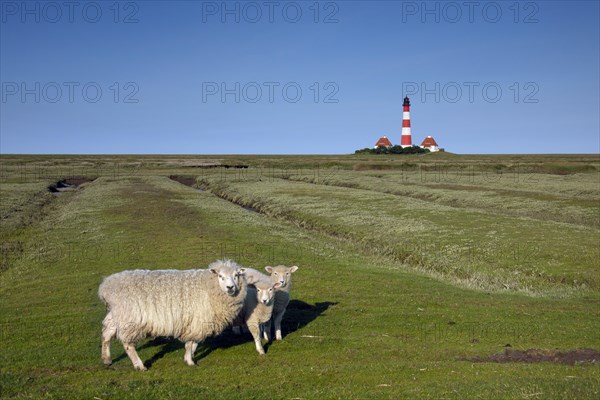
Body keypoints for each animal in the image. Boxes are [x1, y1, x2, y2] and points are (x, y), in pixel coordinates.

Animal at [98, 260, 246, 368]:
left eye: (236, 275)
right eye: (220, 276)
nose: (230, 287)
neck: (208, 286)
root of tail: (105, 286)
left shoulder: (194, 323)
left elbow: (193, 343)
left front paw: (189, 357)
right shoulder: (197, 321)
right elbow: (191, 343)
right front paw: (190, 361)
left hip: (117, 314)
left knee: (106, 333)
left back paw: (106, 359)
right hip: (130, 319)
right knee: (128, 344)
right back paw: (139, 365)